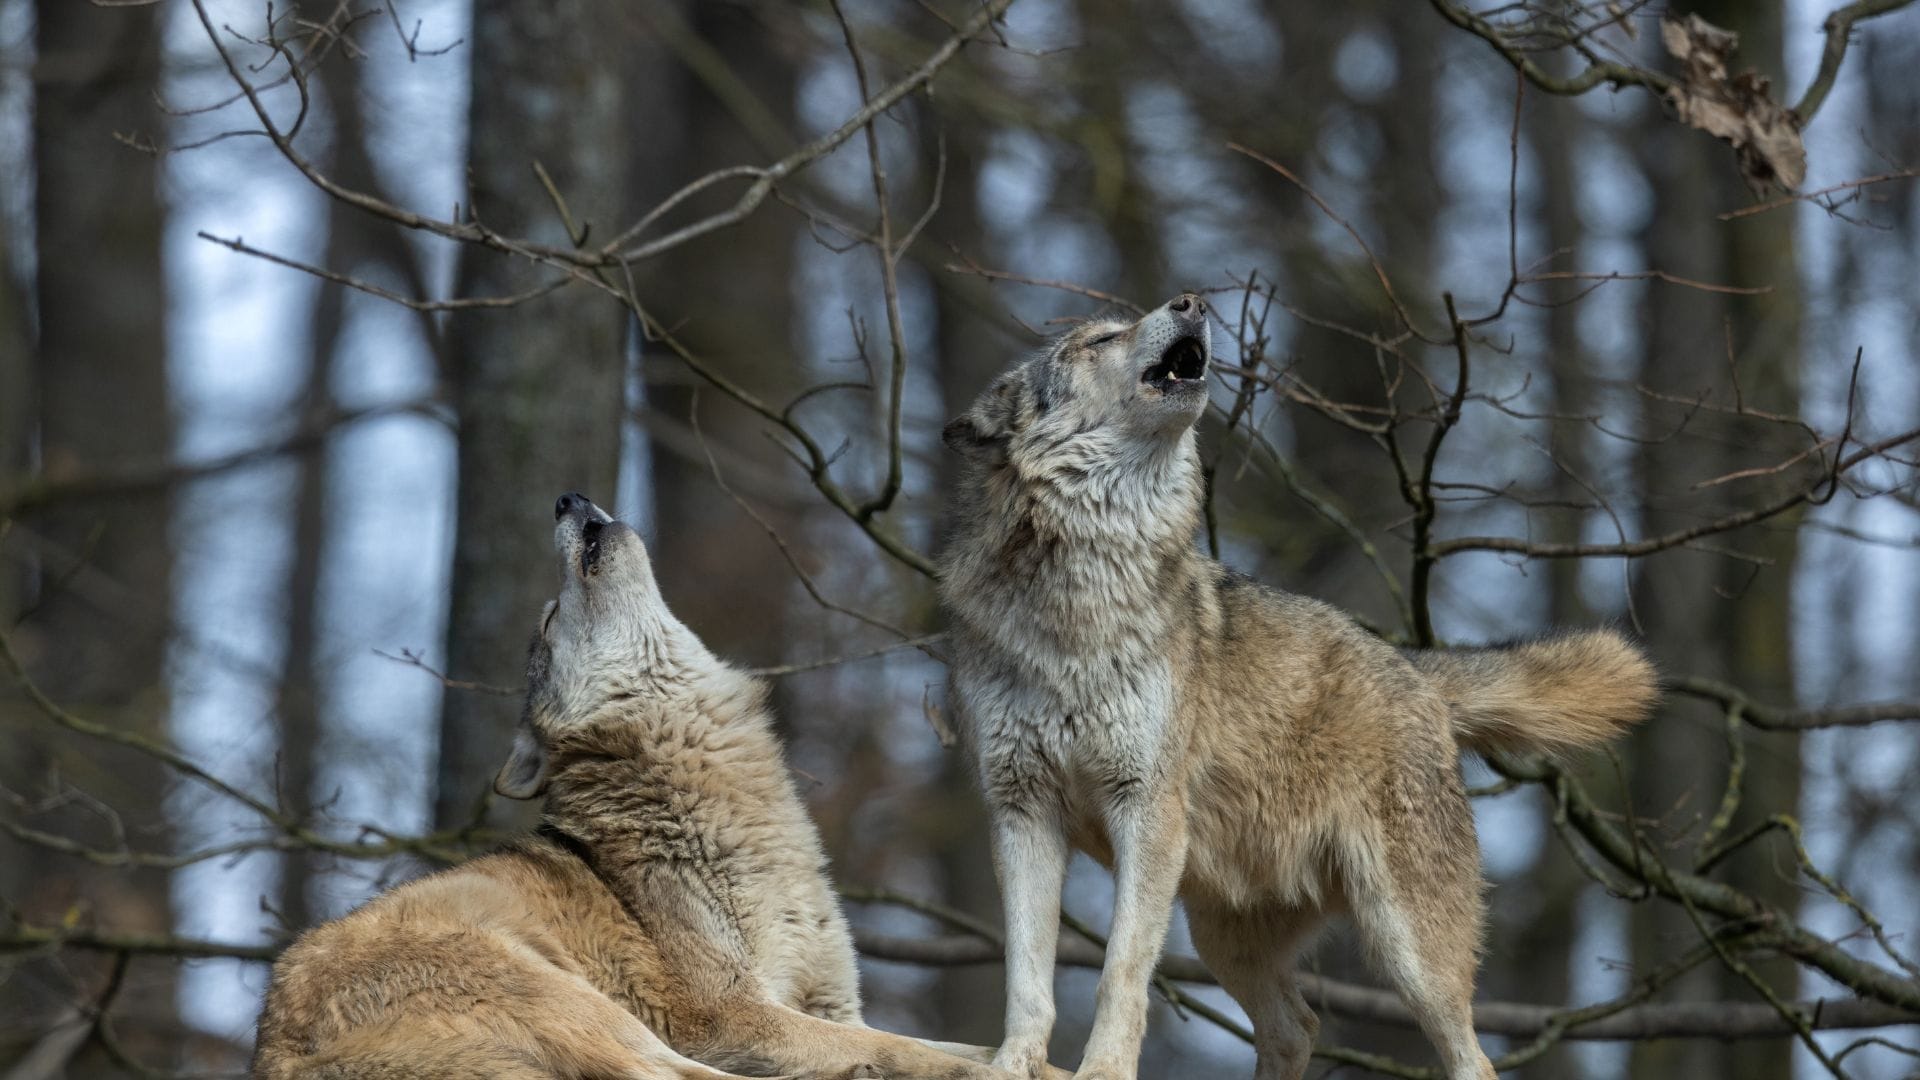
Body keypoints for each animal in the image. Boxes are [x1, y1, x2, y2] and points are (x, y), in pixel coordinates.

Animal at [254, 493, 1058, 1080]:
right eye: (550, 618)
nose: (567, 497)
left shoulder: (835, 1004)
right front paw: (982, 1071)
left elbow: (953, 1044)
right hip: (559, 992)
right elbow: (912, 1049)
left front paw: (1025, 1062)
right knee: (677, 1076)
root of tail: (280, 1057)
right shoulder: (732, 1015)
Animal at [938, 296, 1658, 1080]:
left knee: (1470, 1057)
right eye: (1101, 339)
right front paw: (1010, 1062)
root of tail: (1416, 668)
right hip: (1220, 928)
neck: (1078, 595)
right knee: (1297, 1025)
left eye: (1121, 325)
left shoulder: (1146, 809)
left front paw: (1102, 1072)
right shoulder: (1022, 811)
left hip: (1409, 951)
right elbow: (1025, 975)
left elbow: (1119, 973)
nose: (1192, 301)